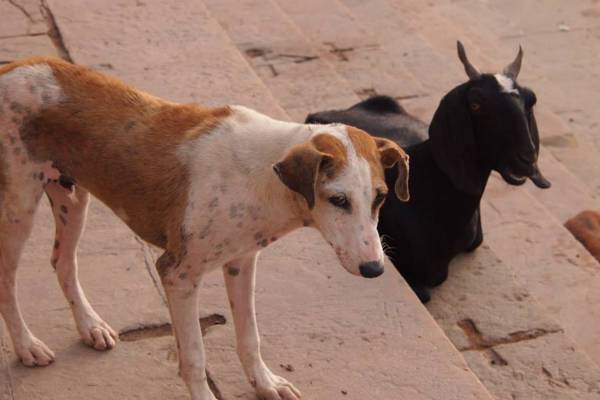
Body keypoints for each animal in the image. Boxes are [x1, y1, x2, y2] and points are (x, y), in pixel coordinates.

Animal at [0, 58, 408, 400]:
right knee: (8, 280)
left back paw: (89, 326)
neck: (266, 177)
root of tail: (14, 64)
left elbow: (249, 337)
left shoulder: (242, 262)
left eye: (380, 198)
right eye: (338, 200)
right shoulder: (177, 274)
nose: (375, 268)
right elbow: (195, 356)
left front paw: (265, 384)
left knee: (63, 262)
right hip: (19, 207)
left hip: (71, 198)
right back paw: (27, 346)